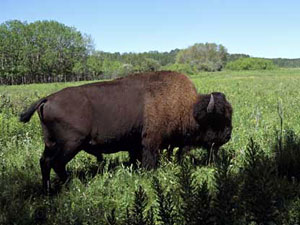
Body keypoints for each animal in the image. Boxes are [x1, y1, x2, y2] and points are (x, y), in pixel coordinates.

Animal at [19, 70, 233, 192]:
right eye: (217, 119)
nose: (228, 135)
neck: (188, 107)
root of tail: (47, 99)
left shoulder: (137, 145)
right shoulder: (150, 143)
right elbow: (149, 162)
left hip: (50, 144)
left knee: (45, 162)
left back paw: (47, 190)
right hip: (71, 145)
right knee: (56, 164)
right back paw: (72, 185)